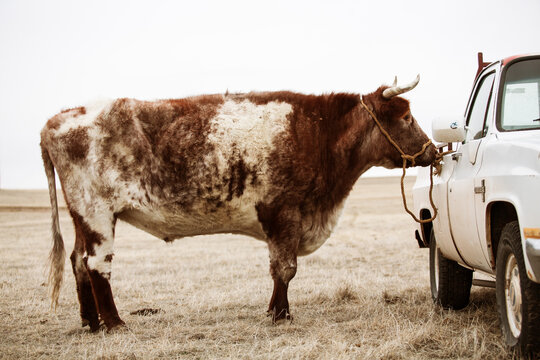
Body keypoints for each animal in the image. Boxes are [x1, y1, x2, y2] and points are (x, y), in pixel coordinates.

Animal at [42, 76, 438, 332]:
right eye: (406, 117)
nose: (433, 152)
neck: (317, 134)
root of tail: (60, 117)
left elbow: (278, 269)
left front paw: (273, 311)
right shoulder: (285, 214)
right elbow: (285, 269)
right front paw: (281, 315)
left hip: (82, 216)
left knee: (77, 261)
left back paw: (90, 322)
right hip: (96, 213)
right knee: (97, 264)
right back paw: (114, 323)